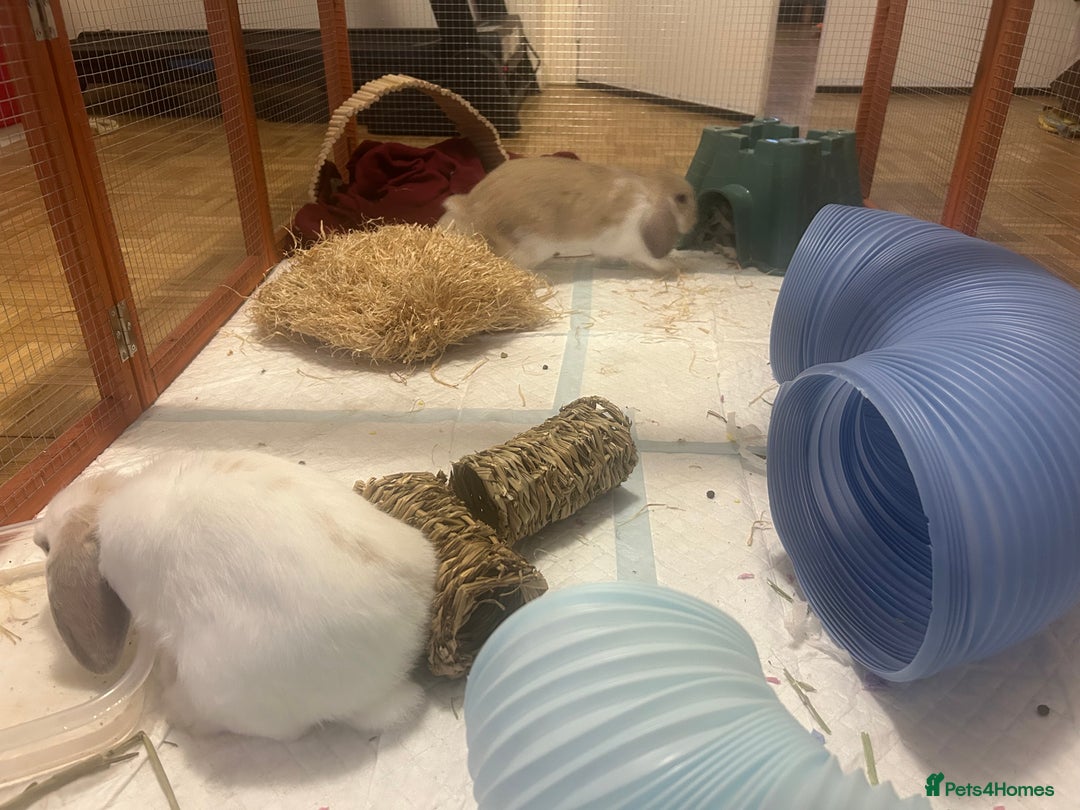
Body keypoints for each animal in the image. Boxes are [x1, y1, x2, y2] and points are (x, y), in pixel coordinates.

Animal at [34, 449, 437, 742]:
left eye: (47, 547)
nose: (37, 537)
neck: (104, 505)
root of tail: (385, 681)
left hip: (218, 683)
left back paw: (177, 707)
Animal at [438, 156, 698, 272]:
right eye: (682, 199)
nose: (694, 222)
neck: (650, 195)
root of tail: (471, 208)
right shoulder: (631, 245)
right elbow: (649, 259)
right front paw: (671, 268)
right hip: (533, 246)